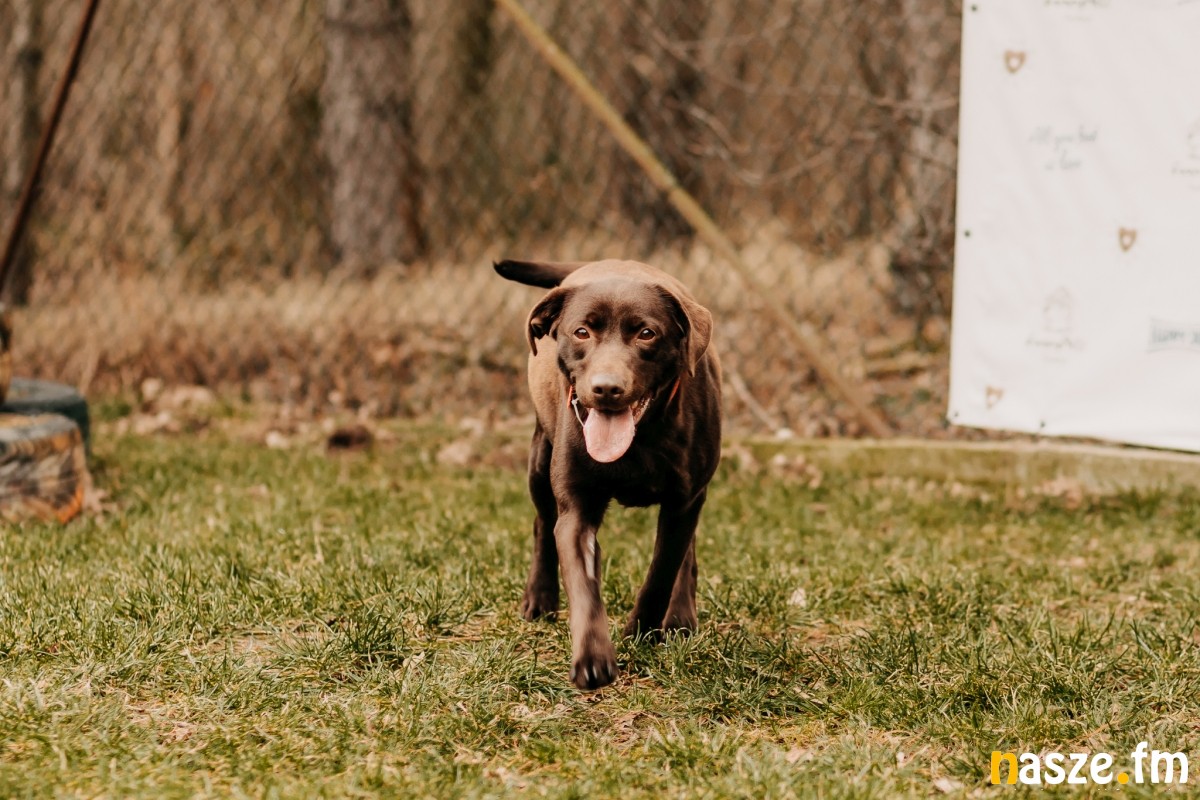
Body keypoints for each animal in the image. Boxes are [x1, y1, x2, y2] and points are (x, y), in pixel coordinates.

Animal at [494, 259, 721, 690]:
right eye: (582, 331)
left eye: (647, 333)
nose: (606, 388)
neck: (640, 439)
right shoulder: (576, 509)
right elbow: (583, 581)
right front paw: (593, 656)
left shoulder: (684, 500)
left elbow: (663, 570)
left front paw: (642, 632)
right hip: (539, 460)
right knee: (542, 524)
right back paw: (540, 598)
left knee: (687, 550)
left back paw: (681, 615)